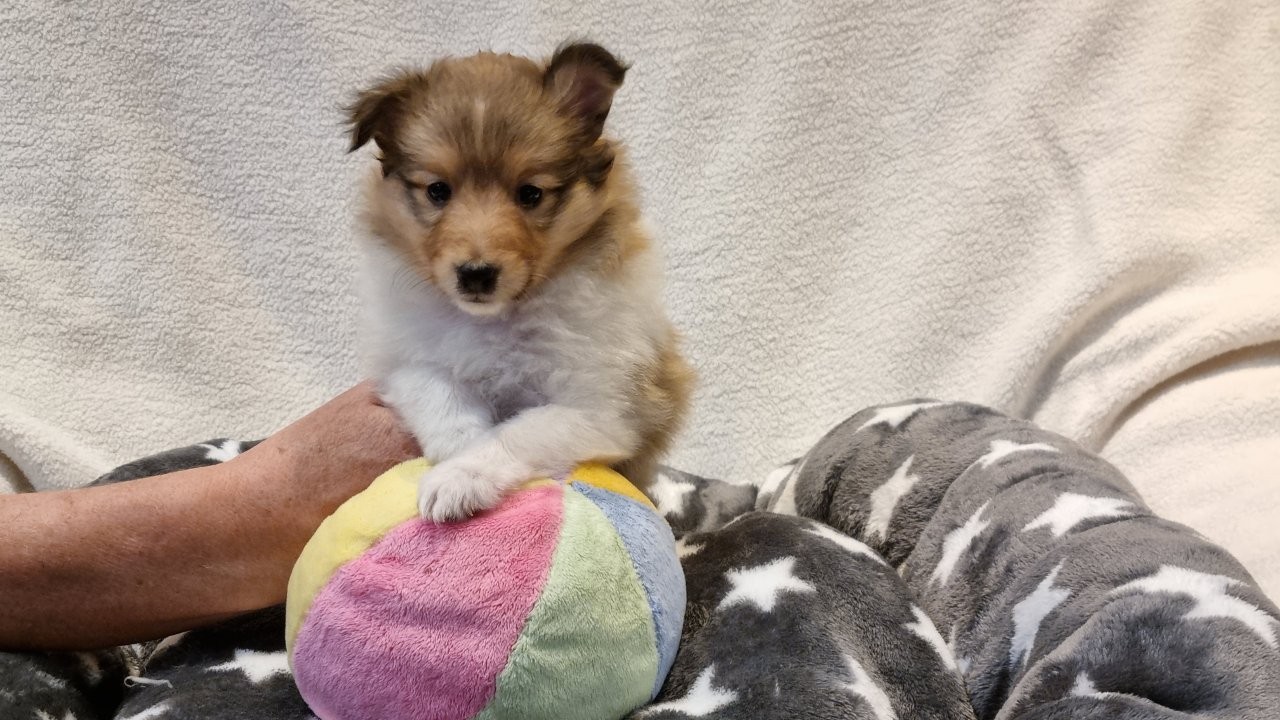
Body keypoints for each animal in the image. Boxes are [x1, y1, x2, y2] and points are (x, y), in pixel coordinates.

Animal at [347, 42, 694, 522]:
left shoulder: (599, 406)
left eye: (530, 193)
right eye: (438, 191)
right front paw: (456, 459)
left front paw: (460, 477)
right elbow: (443, 399)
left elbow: (517, 431)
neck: (495, 320)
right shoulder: (407, 362)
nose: (475, 274)